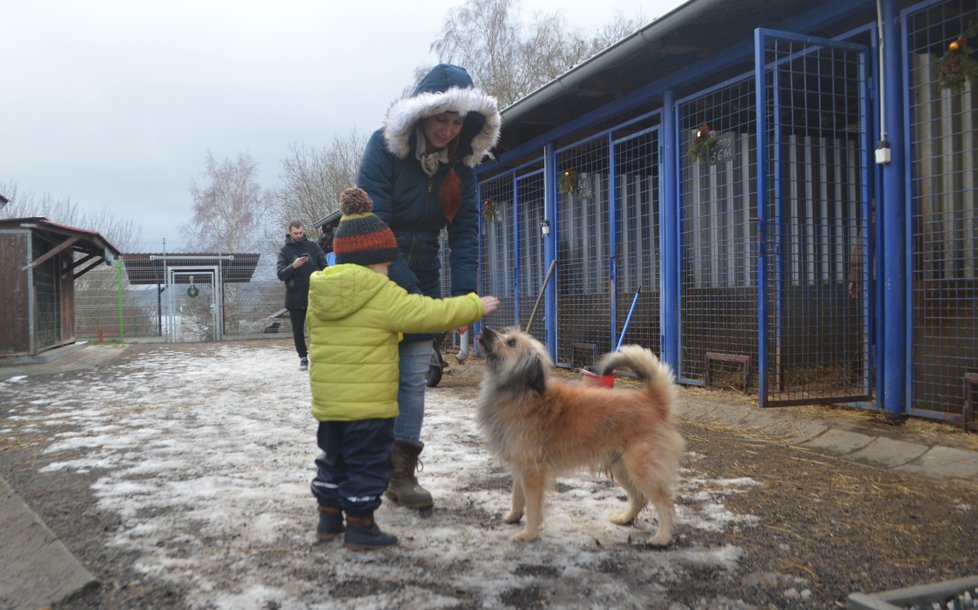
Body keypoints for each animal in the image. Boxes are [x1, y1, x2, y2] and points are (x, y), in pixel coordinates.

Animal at [476, 326, 684, 544]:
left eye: (512, 342)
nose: (485, 328)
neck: (522, 393)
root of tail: (653, 401)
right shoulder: (520, 465)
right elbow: (517, 495)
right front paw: (513, 516)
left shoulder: (532, 471)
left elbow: (532, 506)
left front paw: (528, 533)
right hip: (620, 466)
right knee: (639, 497)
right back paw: (624, 519)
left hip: (642, 468)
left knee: (665, 504)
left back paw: (662, 538)